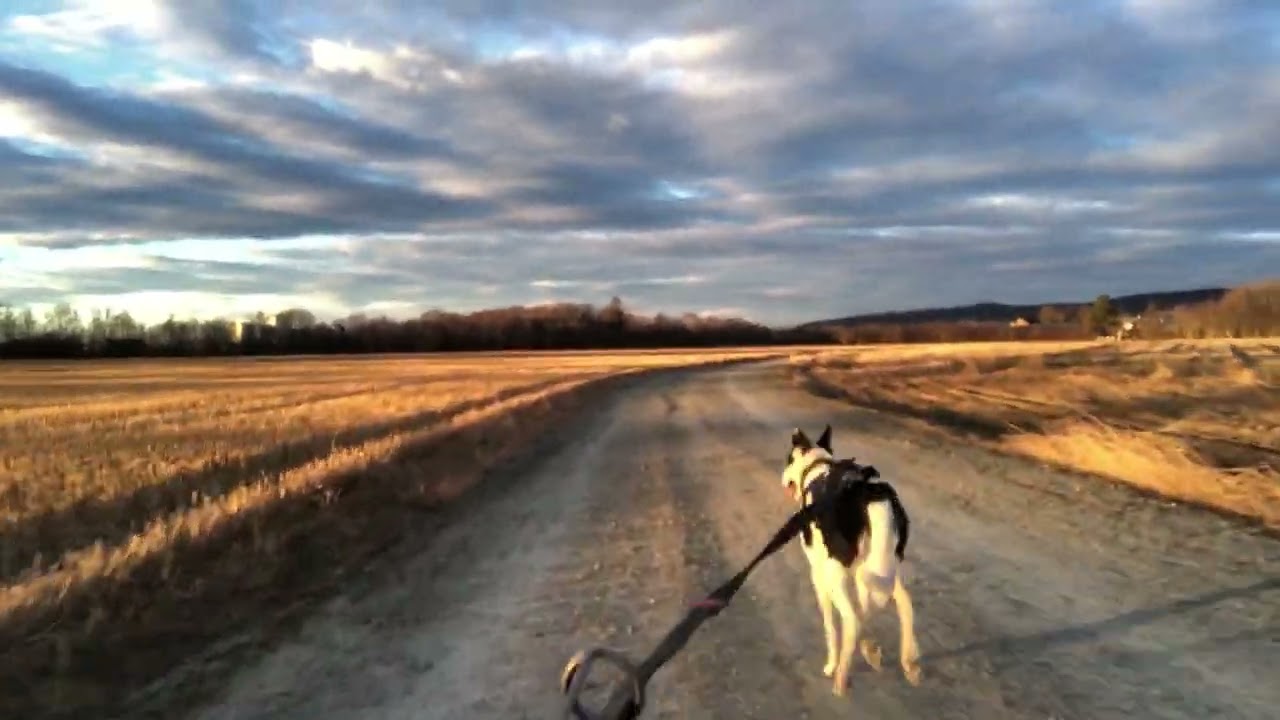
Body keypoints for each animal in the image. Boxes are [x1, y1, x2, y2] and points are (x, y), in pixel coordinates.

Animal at [778, 422, 921, 691]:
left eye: (788, 460)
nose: (782, 479)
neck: (818, 467)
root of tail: (865, 493)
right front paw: (871, 649)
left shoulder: (820, 577)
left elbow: (831, 627)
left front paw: (831, 664)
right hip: (883, 569)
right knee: (903, 604)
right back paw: (906, 660)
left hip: (839, 577)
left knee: (853, 620)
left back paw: (842, 675)